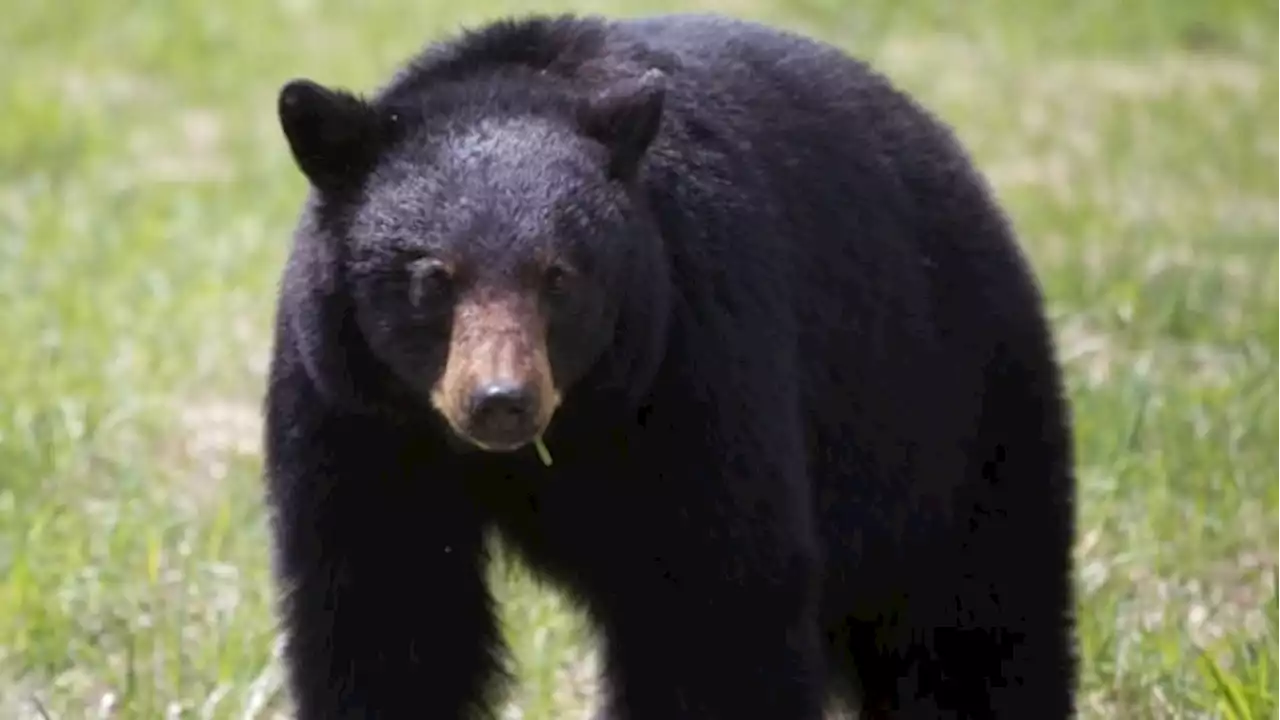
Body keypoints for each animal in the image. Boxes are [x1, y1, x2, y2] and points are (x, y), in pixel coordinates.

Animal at [264, 11, 1075, 717]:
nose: (500, 400)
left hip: (950, 404)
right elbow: (385, 613)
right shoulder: (351, 410)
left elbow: (715, 603)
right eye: (434, 277)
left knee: (977, 622)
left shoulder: (696, 357)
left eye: (559, 276)